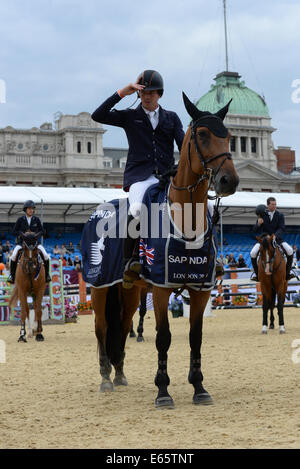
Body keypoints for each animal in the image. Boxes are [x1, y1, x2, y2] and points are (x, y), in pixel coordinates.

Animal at [91, 92, 239, 406]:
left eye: (229, 136)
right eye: (203, 134)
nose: (229, 181)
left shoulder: (200, 289)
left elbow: (195, 337)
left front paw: (199, 387)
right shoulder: (159, 289)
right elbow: (164, 337)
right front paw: (162, 391)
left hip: (129, 292)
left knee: (122, 325)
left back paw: (120, 374)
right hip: (99, 288)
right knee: (101, 328)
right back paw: (106, 378)